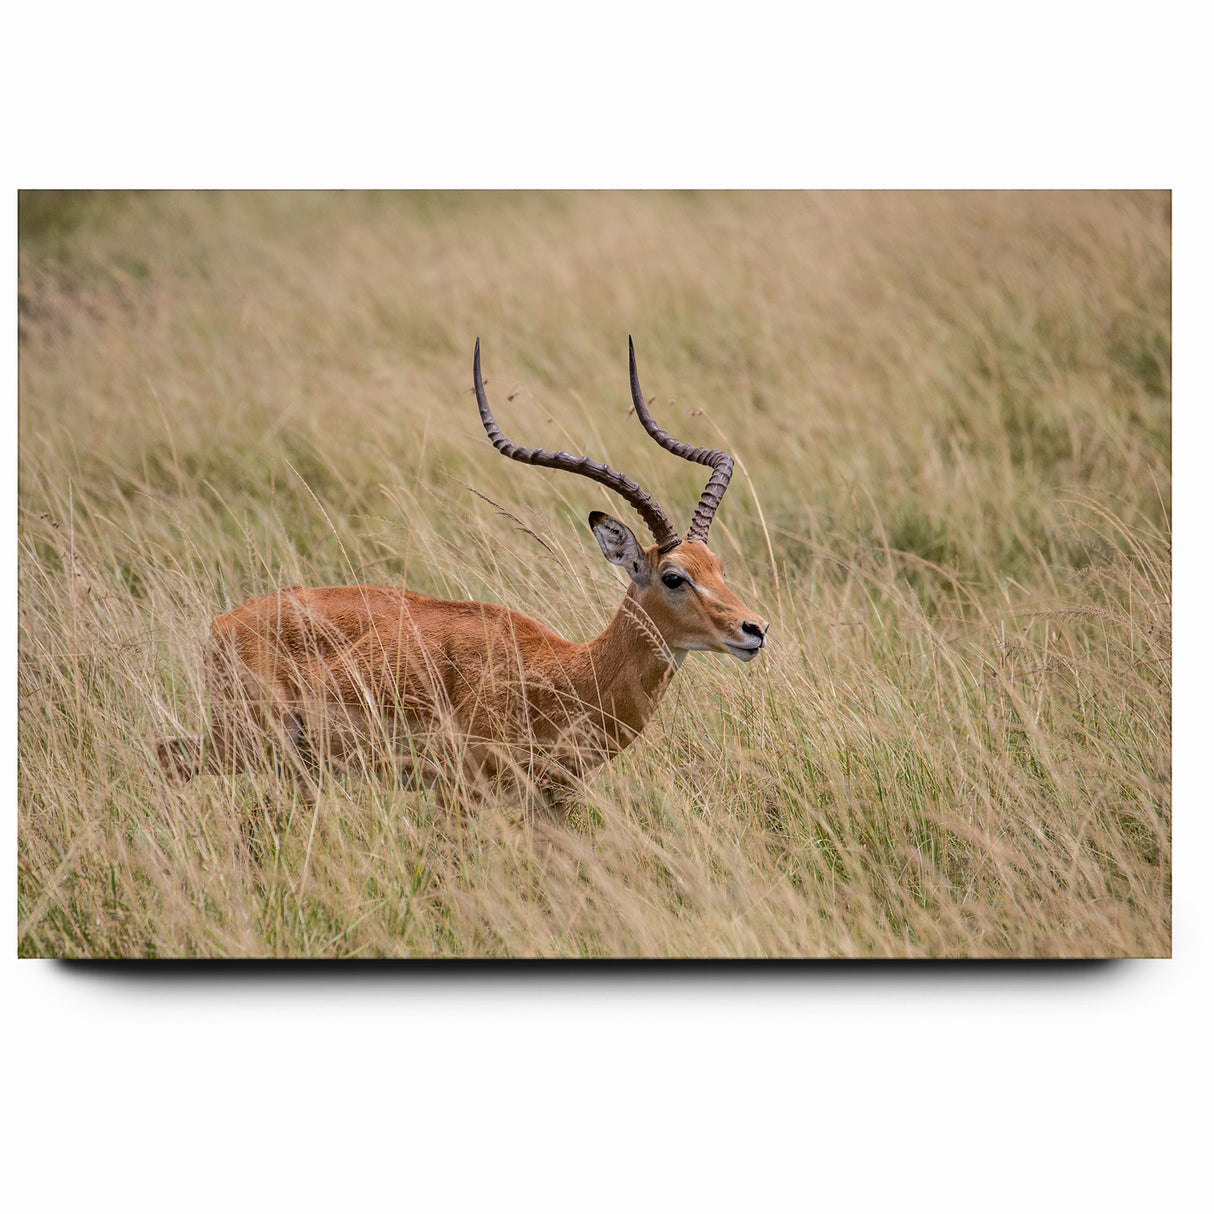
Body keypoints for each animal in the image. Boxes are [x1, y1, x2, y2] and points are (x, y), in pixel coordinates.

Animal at [157, 339, 769, 807]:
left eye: (717, 565)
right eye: (673, 576)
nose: (754, 629)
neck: (566, 674)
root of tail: (223, 622)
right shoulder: (463, 794)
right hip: (248, 740)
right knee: (168, 760)